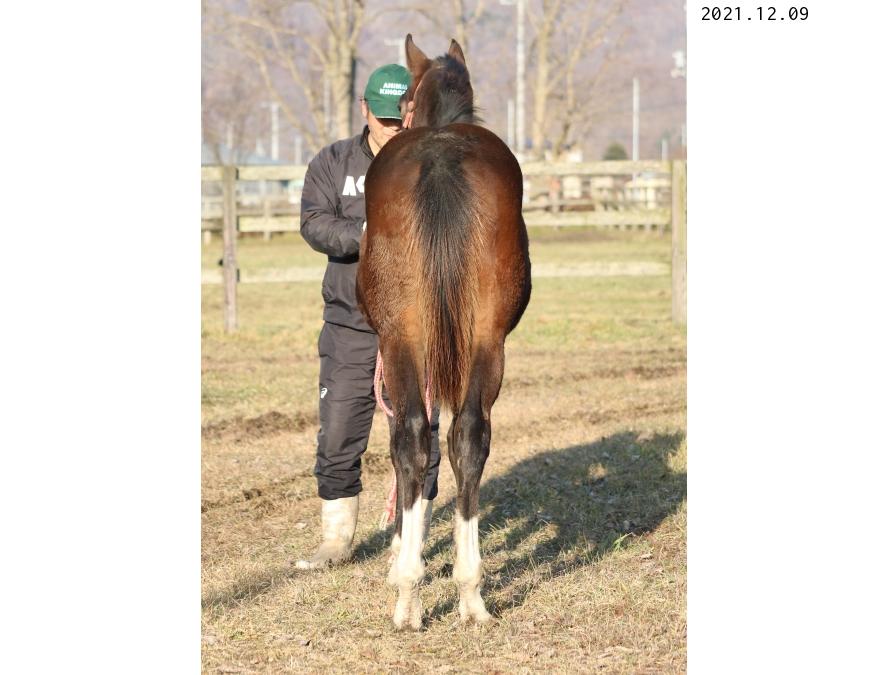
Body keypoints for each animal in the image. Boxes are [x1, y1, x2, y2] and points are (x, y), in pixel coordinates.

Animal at [357, 34, 531, 630]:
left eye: (405, 97)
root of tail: (441, 158)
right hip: (485, 339)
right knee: (468, 436)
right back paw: (471, 593)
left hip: (401, 339)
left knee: (409, 435)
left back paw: (407, 595)